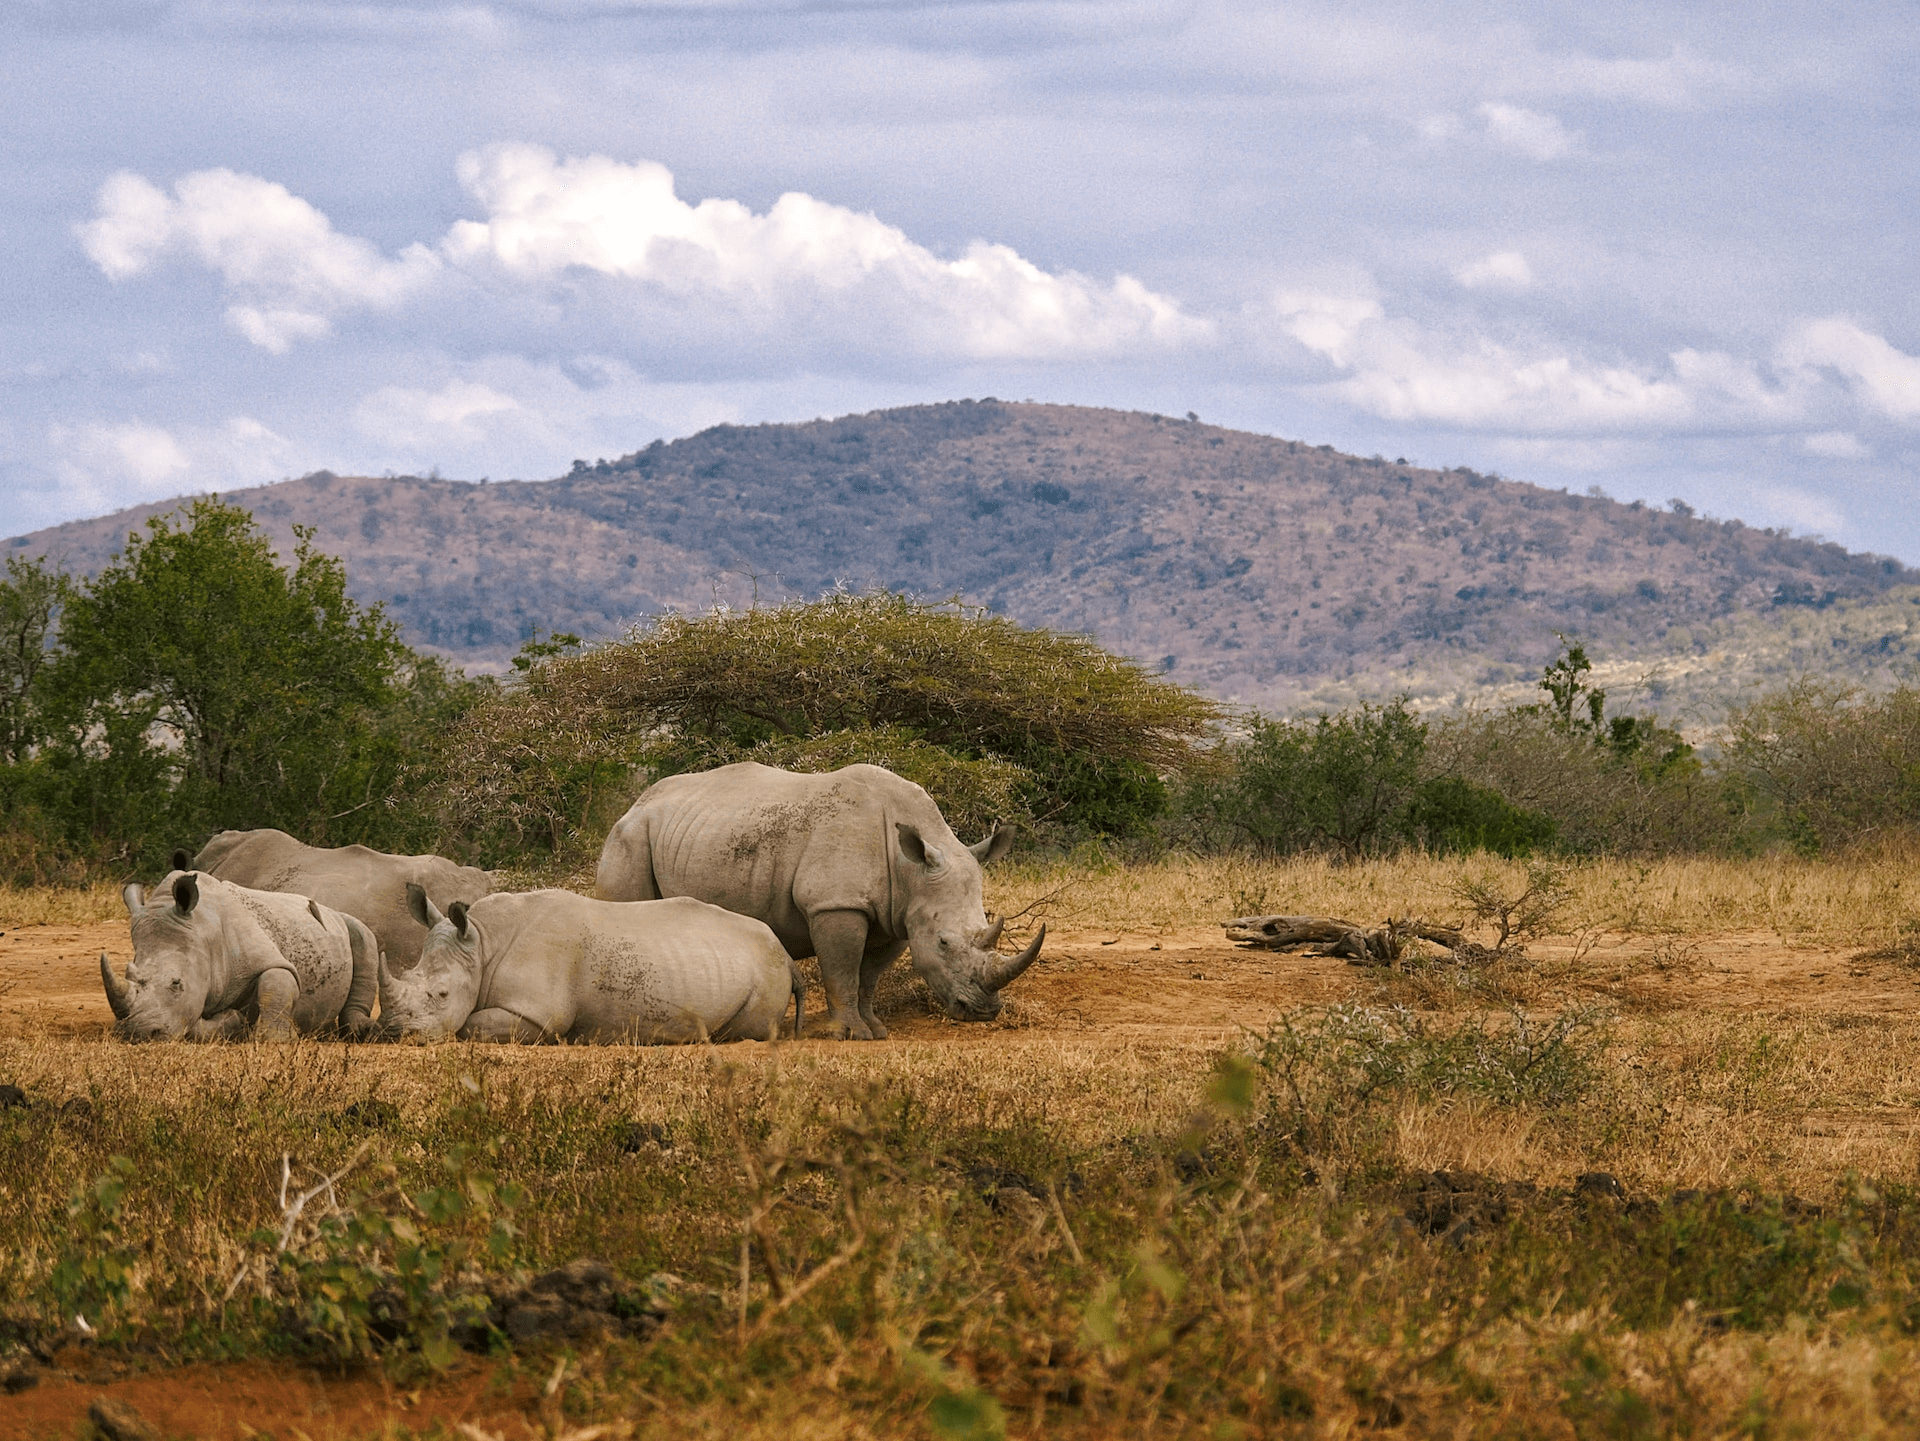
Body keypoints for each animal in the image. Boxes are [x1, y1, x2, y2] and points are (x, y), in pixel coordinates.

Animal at [102, 871, 378, 1042]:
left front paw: (275, 1038)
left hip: (347, 921)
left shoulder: (267, 957)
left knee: (364, 935)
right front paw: (234, 1021)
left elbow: (276, 985)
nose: (139, 1032)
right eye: (128, 974)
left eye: (176, 983)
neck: (203, 932)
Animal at [378, 886, 803, 1044]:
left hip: (766, 969)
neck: (481, 943)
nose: (393, 1032)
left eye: (441, 994)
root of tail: (784, 952)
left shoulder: (537, 1013)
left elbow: (471, 1025)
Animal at [595, 762, 1043, 1040]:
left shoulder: (897, 916)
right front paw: (849, 1034)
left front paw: (876, 1030)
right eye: (944, 943)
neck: (910, 870)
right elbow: (841, 970)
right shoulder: (835, 902)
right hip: (629, 837)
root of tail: (635, 803)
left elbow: (868, 977)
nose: (983, 1011)